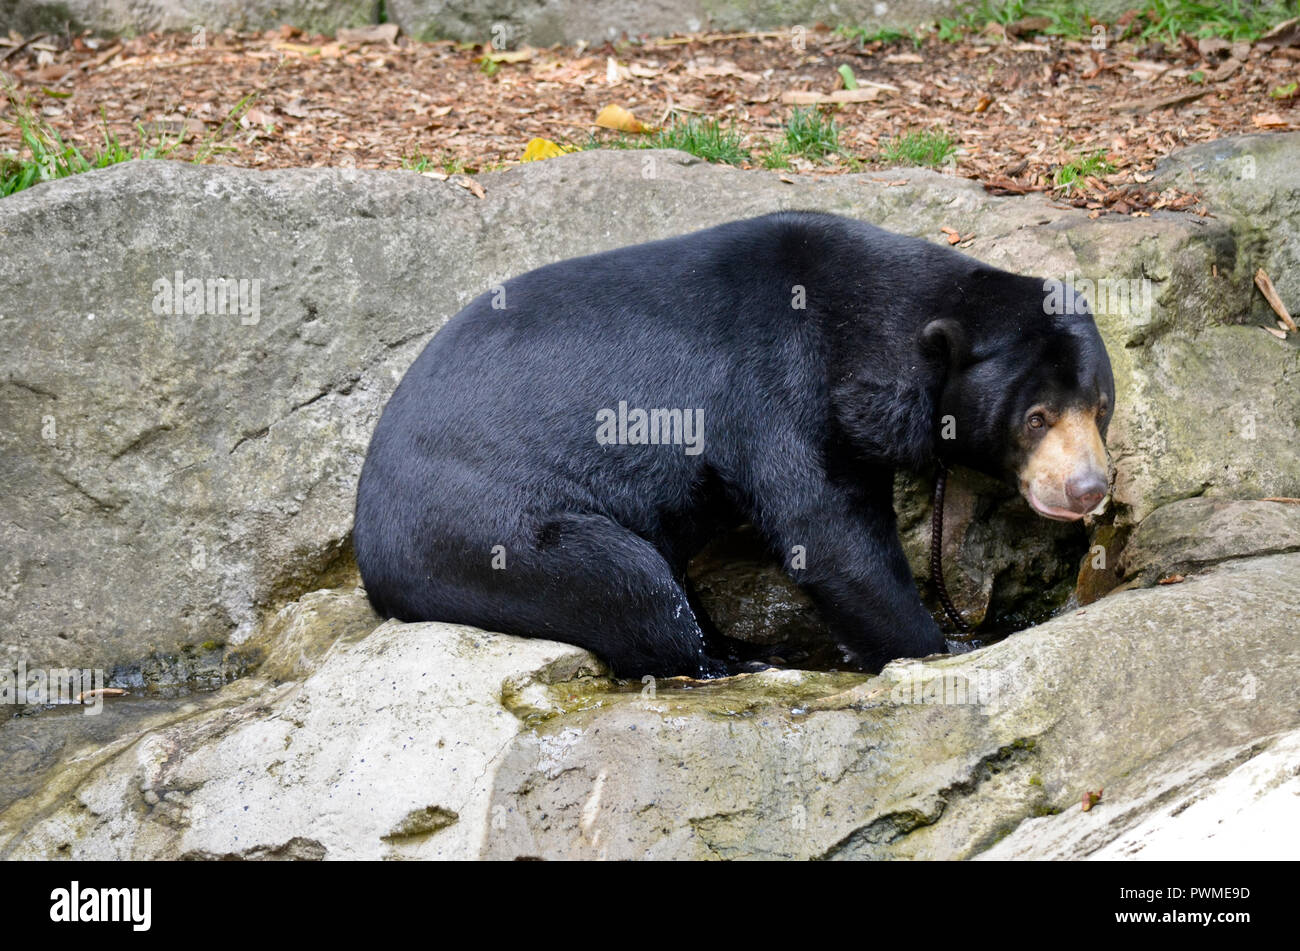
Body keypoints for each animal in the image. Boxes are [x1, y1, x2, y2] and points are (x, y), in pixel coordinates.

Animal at [353, 211, 1114, 679]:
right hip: (484, 527)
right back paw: (728, 662)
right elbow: (829, 534)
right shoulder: (778, 388)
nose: (1090, 489)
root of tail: (368, 539)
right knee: (627, 581)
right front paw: (938, 646)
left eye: (1100, 408)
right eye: (1036, 418)